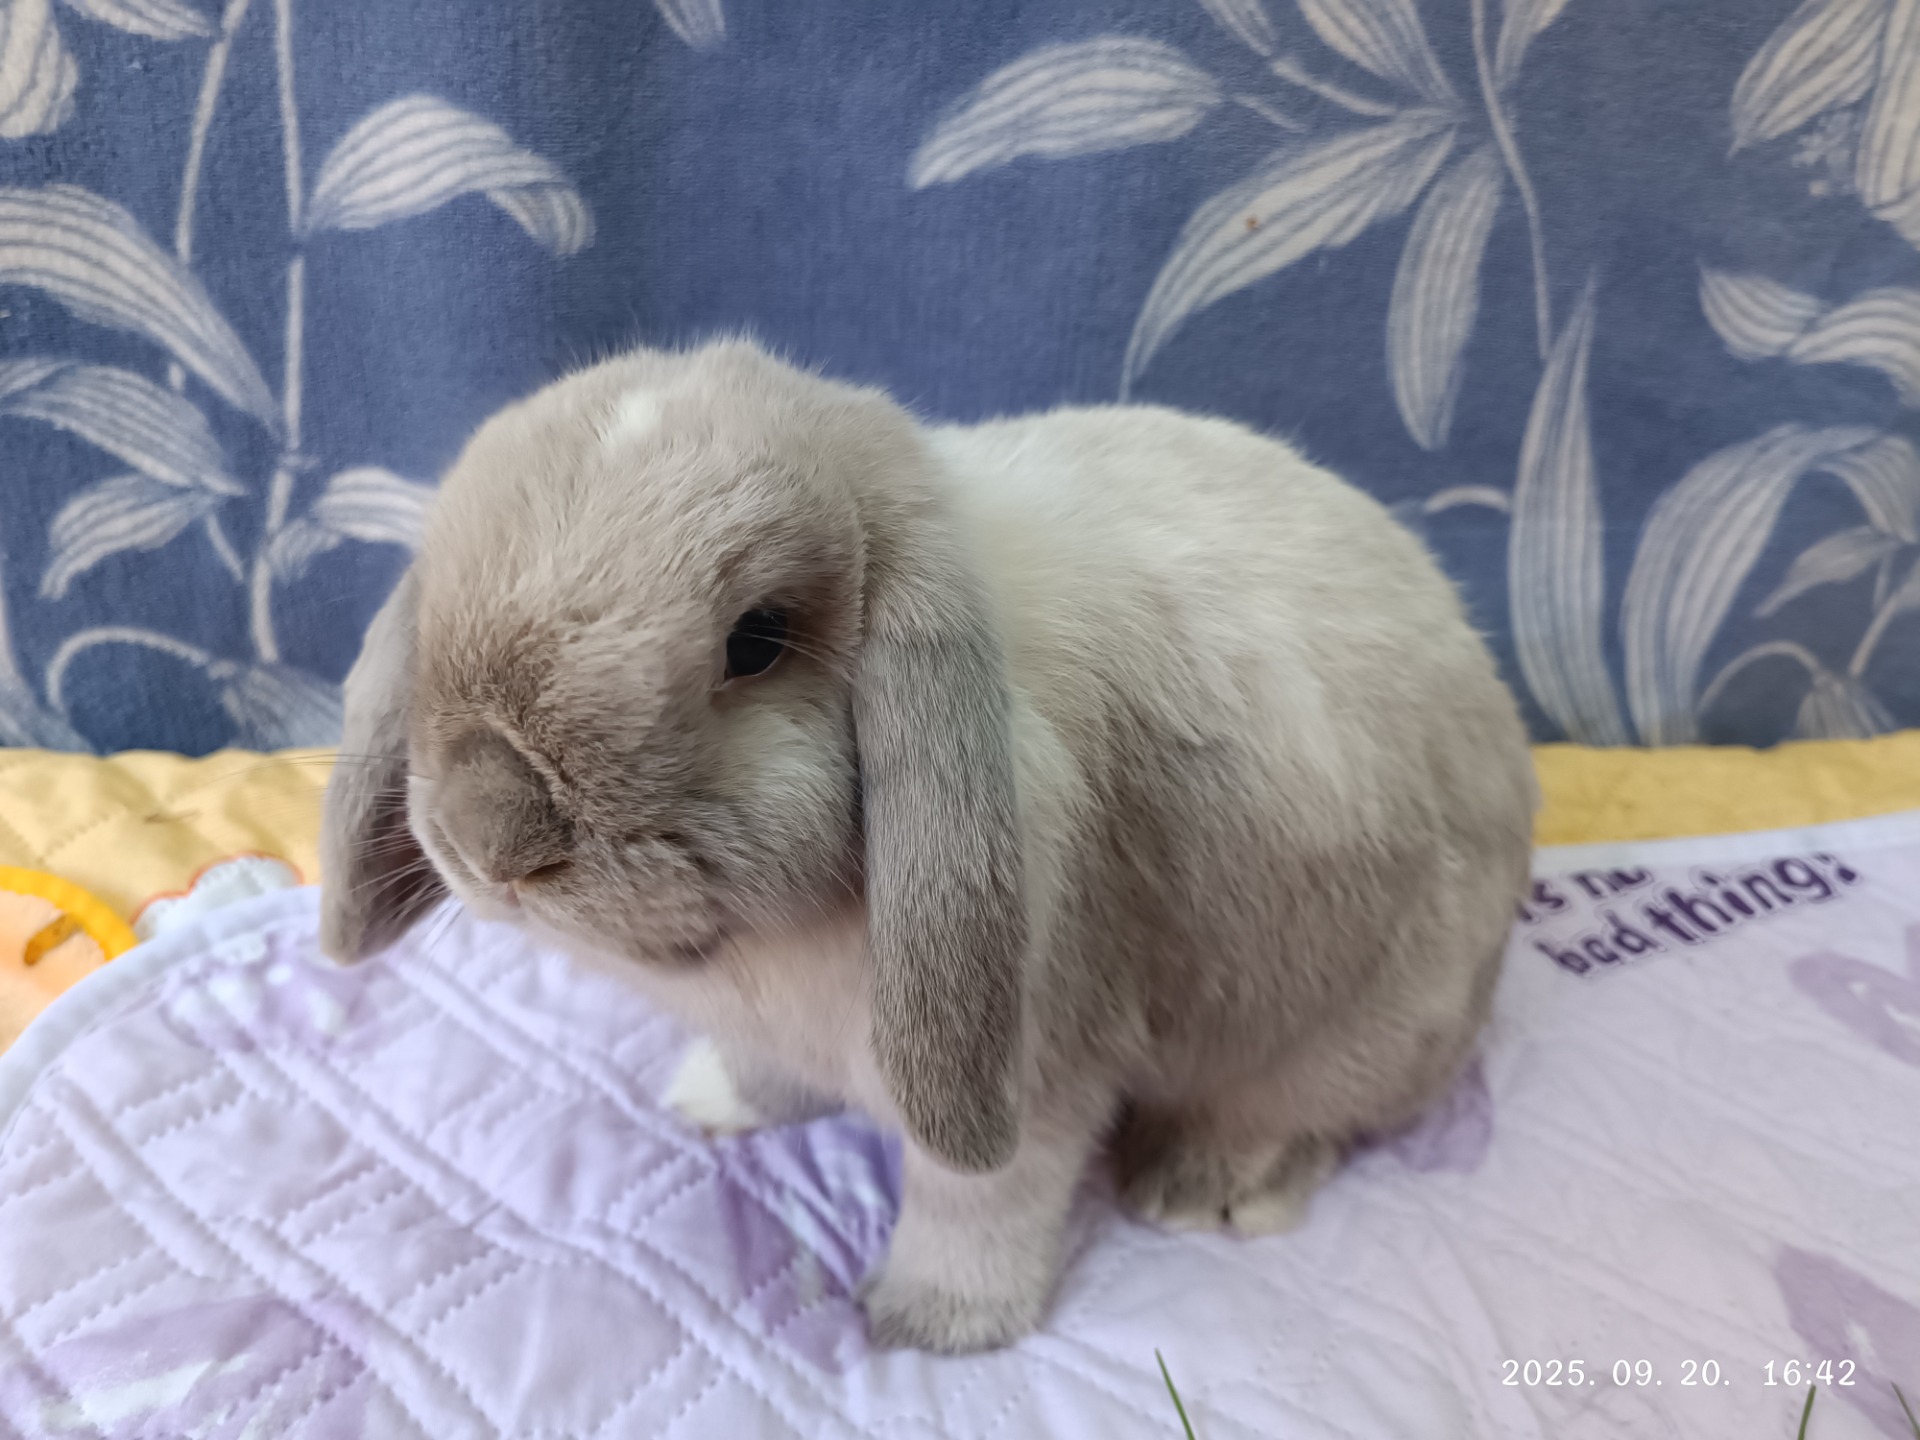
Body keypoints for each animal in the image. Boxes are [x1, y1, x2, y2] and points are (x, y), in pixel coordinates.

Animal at [318, 337, 1537, 1354]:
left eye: (756, 641)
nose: (488, 830)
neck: (762, 952)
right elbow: (769, 1077)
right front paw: (716, 1100)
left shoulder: (1036, 1072)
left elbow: (978, 1203)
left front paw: (930, 1327)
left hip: (1354, 1029)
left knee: (1302, 1115)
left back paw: (1202, 1185)